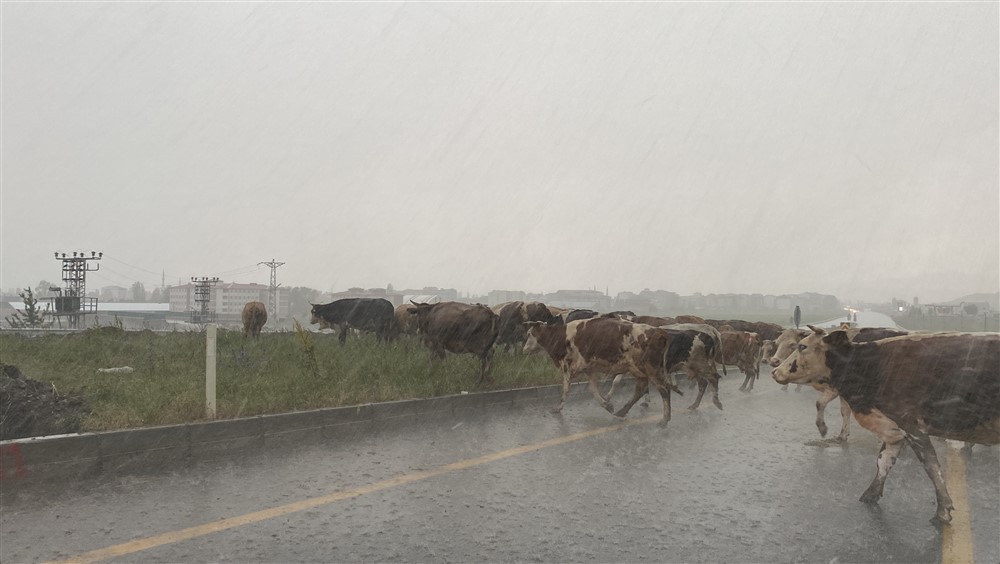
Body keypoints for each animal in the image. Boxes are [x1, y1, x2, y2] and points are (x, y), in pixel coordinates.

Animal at [524, 318, 688, 424]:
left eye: (529, 334)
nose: (524, 349)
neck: (562, 336)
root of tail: (659, 332)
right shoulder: (589, 369)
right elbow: (592, 389)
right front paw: (607, 405)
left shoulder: (570, 367)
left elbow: (565, 389)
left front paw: (557, 408)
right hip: (638, 370)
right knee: (641, 390)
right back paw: (621, 412)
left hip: (650, 369)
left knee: (664, 390)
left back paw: (664, 419)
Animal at [772, 326, 1000, 524]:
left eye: (801, 346)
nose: (775, 369)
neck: (873, 364)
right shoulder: (894, 429)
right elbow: (883, 462)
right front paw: (870, 495)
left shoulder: (911, 425)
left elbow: (931, 466)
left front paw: (943, 510)